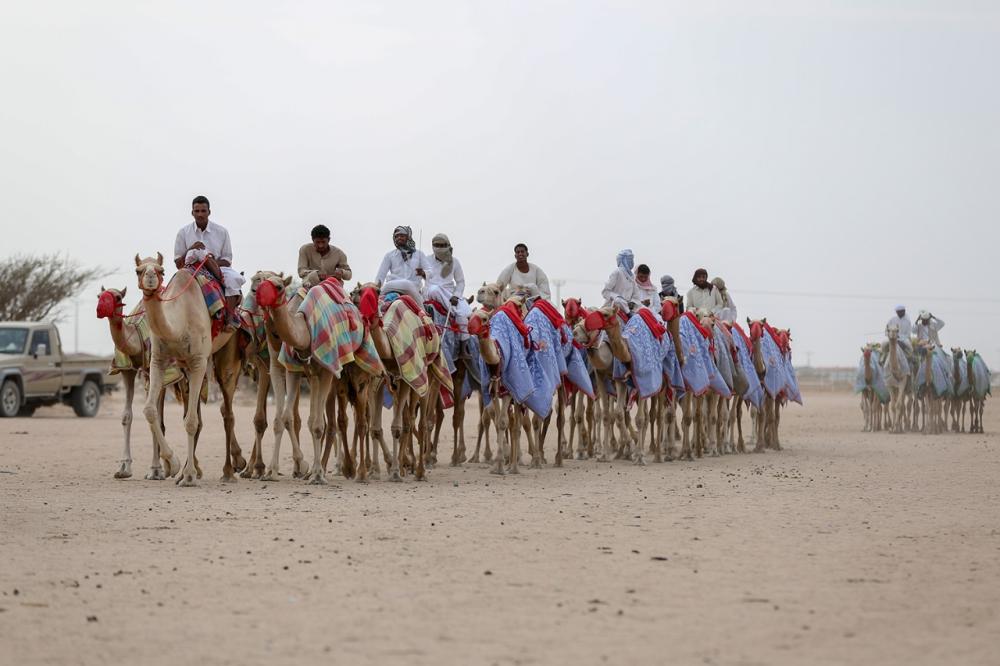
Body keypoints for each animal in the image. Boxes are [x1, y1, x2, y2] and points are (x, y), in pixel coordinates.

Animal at [134, 253, 246, 486]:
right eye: (138, 270)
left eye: (161, 270)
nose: (150, 278)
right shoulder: (159, 361)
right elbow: (150, 411)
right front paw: (174, 464)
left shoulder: (198, 362)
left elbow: (191, 422)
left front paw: (188, 476)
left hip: (228, 353)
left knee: (227, 412)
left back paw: (230, 471)